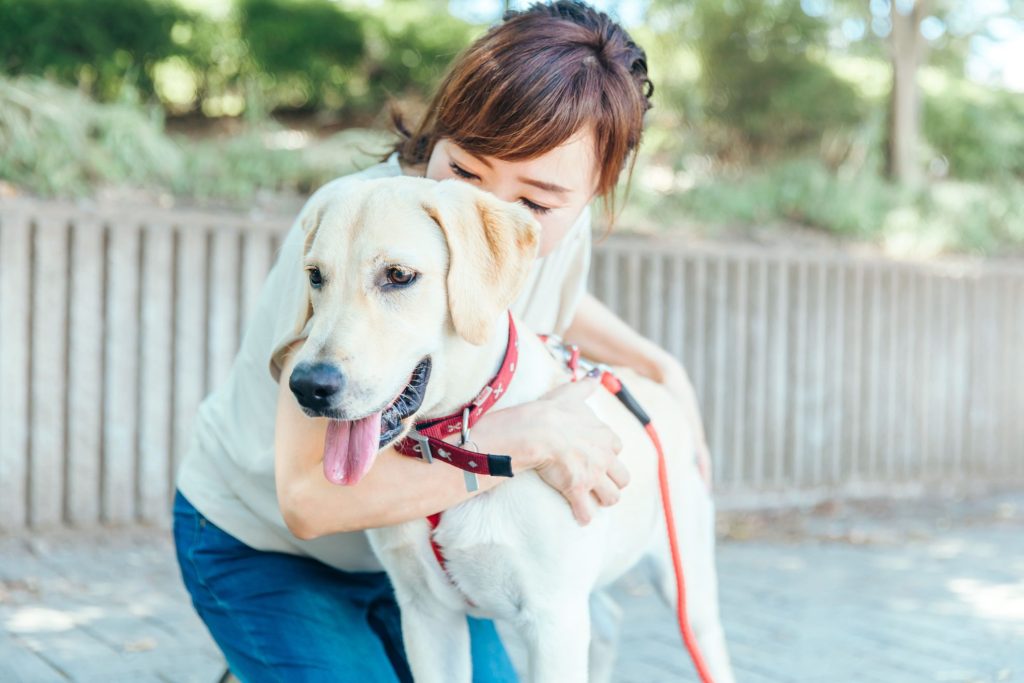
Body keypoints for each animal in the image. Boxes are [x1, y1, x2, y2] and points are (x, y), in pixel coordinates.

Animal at [288, 178, 733, 683]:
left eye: (398, 275)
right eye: (315, 276)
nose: (307, 386)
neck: (455, 444)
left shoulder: (553, 619)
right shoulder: (426, 615)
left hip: (686, 587)